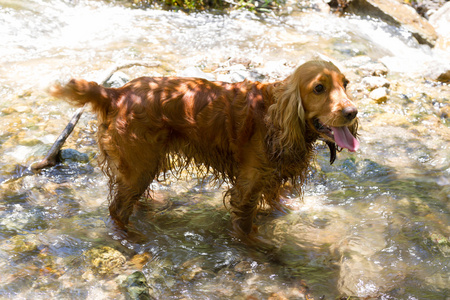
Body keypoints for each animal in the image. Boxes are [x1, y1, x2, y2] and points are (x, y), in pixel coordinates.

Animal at [51, 60, 358, 241]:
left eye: (345, 84)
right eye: (318, 88)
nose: (352, 112)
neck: (275, 116)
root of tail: (116, 93)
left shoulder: (270, 178)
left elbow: (275, 201)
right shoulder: (247, 187)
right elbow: (246, 229)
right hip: (139, 165)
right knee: (116, 210)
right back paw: (133, 238)